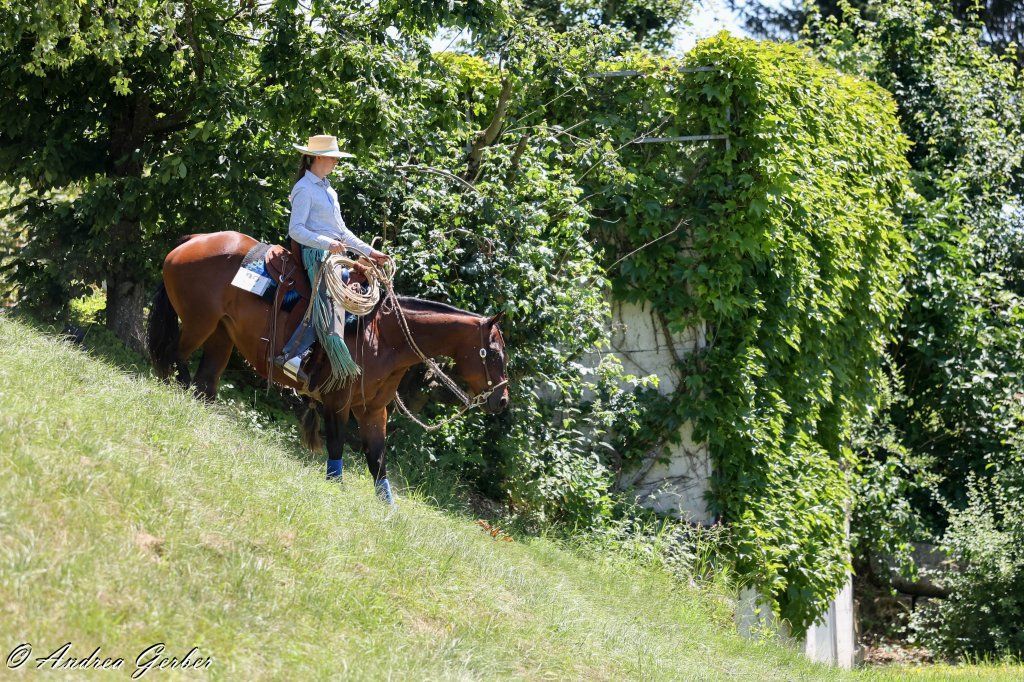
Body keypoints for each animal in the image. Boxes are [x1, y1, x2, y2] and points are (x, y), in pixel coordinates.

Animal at [145, 231, 510, 500]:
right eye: (493, 353)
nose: (502, 400)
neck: (384, 336)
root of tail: (193, 240)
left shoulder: (374, 410)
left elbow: (378, 461)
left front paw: (388, 509)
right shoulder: (338, 400)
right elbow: (336, 443)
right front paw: (335, 485)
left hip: (221, 335)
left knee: (205, 381)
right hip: (199, 322)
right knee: (173, 355)